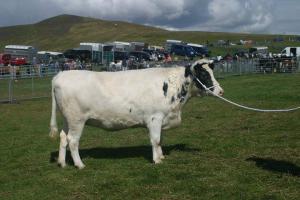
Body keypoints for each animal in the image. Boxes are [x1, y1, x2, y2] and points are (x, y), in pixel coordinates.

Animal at [49, 58, 223, 168]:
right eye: (204, 74)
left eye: (211, 72)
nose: (221, 91)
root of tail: (61, 74)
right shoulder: (155, 117)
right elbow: (155, 140)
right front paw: (157, 160)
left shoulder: (161, 119)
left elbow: (160, 140)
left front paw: (161, 156)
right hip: (77, 120)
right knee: (72, 140)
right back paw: (79, 164)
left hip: (67, 119)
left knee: (63, 137)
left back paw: (62, 163)